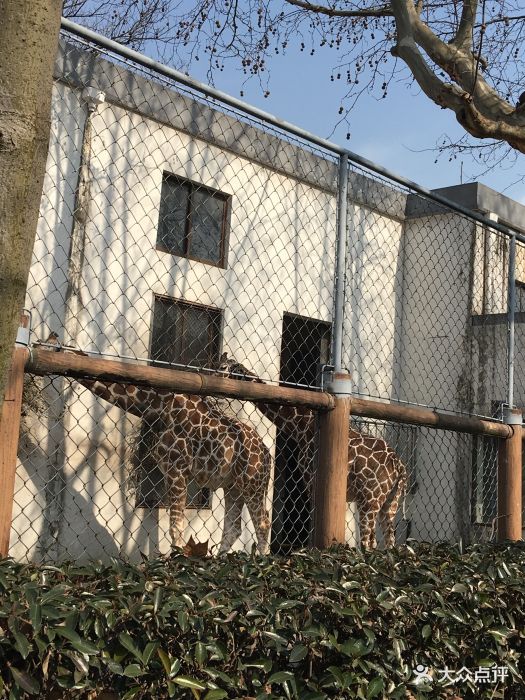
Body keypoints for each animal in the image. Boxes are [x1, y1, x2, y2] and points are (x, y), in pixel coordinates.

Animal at [61, 370, 272, 556]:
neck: (155, 405)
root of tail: (268, 456)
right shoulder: (168, 471)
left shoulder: (176, 468)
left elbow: (176, 527)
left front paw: (176, 563)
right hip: (232, 486)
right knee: (233, 527)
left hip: (253, 484)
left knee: (263, 523)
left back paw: (260, 562)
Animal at [213, 352, 406, 548]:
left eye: (222, 367)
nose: (214, 383)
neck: (300, 427)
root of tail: (400, 468)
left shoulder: (310, 478)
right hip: (390, 503)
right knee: (389, 541)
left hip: (370, 499)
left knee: (369, 542)